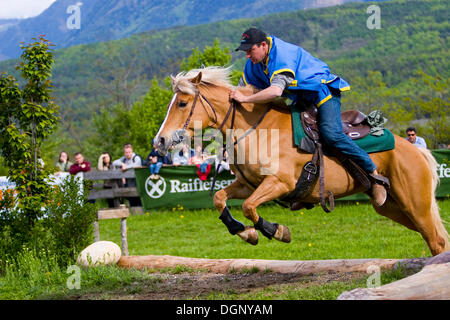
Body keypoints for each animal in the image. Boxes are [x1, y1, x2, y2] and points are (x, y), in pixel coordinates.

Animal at [154, 66, 446, 256]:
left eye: (182, 103)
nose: (160, 141)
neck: (257, 129)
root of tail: (415, 150)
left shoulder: (279, 183)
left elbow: (249, 207)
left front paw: (275, 230)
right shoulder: (248, 184)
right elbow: (220, 199)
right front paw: (246, 233)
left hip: (415, 204)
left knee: (437, 242)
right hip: (393, 207)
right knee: (435, 239)